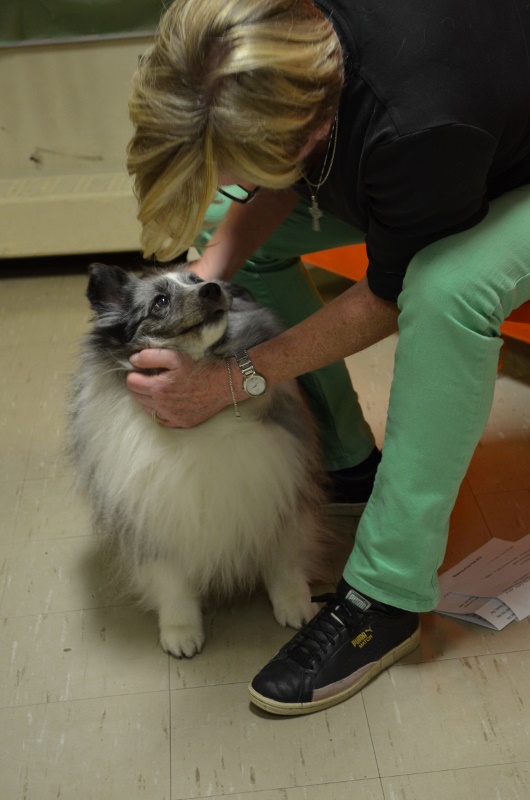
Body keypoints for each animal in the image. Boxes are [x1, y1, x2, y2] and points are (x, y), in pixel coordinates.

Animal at [68, 262, 328, 656]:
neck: (201, 425)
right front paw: (180, 632)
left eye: (197, 280)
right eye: (159, 301)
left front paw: (295, 604)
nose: (212, 289)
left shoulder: (278, 493)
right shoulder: (157, 518)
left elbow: (284, 560)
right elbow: (172, 583)